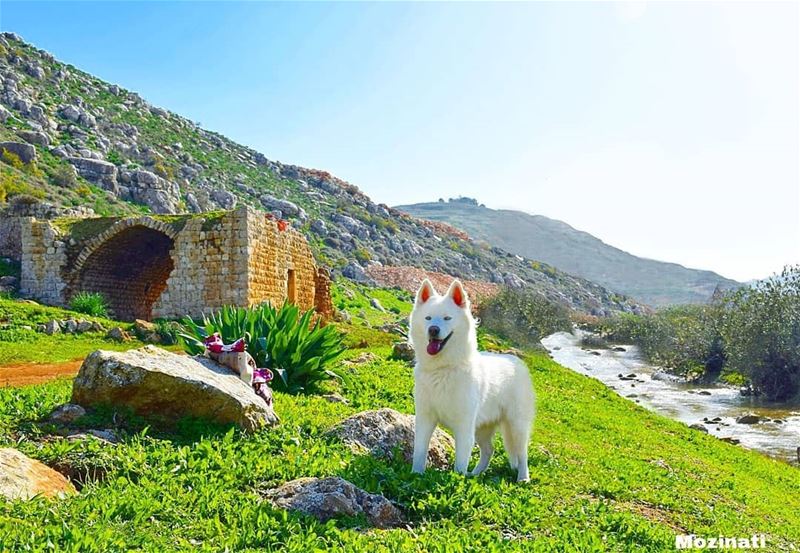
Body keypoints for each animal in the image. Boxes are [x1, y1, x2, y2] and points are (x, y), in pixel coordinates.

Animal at [410, 278, 536, 480]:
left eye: (447, 318)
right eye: (428, 318)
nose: (433, 330)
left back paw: (523, 478)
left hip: (516, 425)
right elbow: (419, 452)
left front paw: (457, 479)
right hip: (482, 428)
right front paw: (416, 475)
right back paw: (475, 474)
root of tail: (517, 362)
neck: (443, 369)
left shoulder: (464, 427)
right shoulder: (425, 419)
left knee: (522, 453)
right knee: (489, 450)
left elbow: (460, 462)